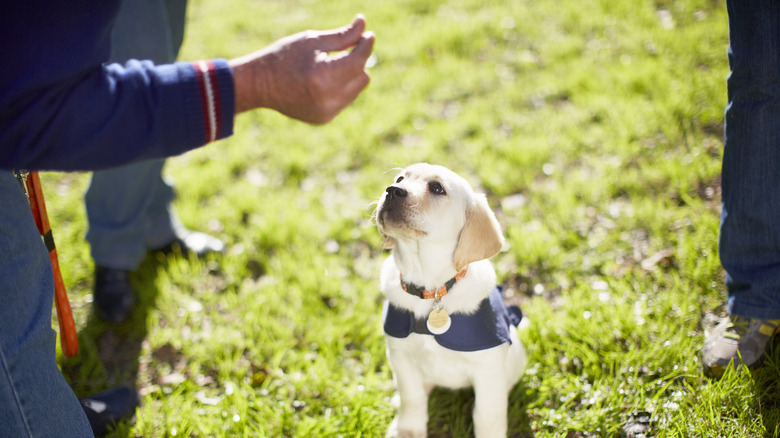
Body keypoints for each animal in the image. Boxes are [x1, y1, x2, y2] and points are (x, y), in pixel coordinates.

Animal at [376, 163, 528, 438]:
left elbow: (488, 415)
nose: (391, 190)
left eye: (437, 188)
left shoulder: (488, 370)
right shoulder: (401, 356)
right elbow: (412, 397)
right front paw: (408, 430)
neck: (431, 289)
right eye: (400, 178)